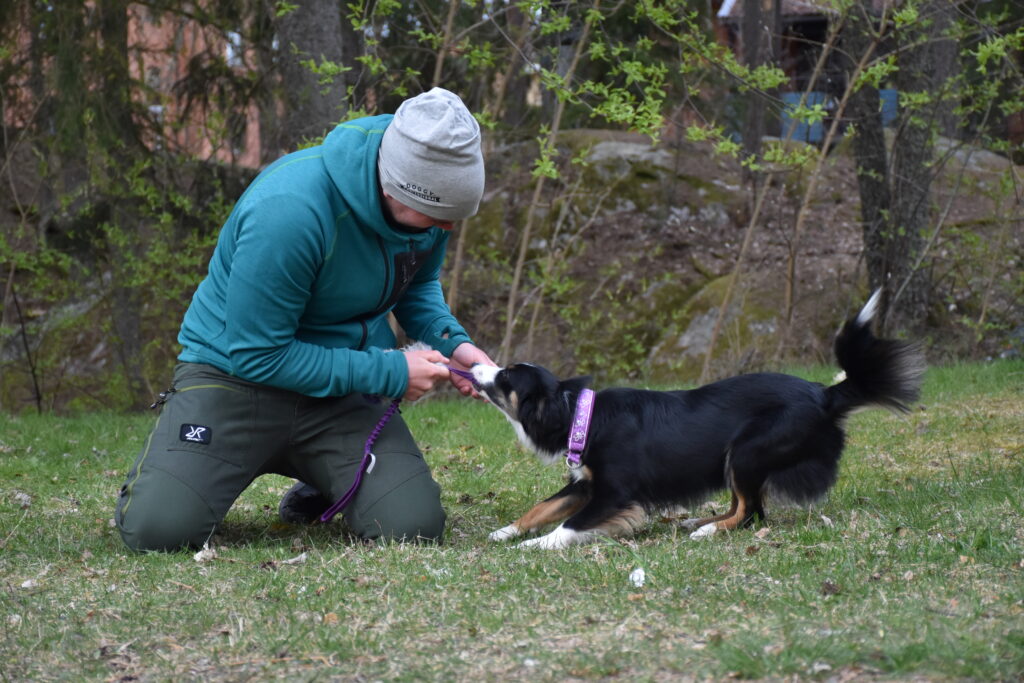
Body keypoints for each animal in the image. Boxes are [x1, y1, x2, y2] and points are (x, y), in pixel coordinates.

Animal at [471, 290, 929, 548]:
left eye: (506, 376)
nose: (473, 367)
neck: (578, 413)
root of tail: (825, 393)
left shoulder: (615, 493)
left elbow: (567, 524)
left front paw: (533, 547)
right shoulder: (585, 484)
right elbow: (541, 507)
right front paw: (506, 532)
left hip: (748, 450)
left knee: (751, 513)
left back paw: (708, 530)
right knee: (744, 505)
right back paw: (700, 519)